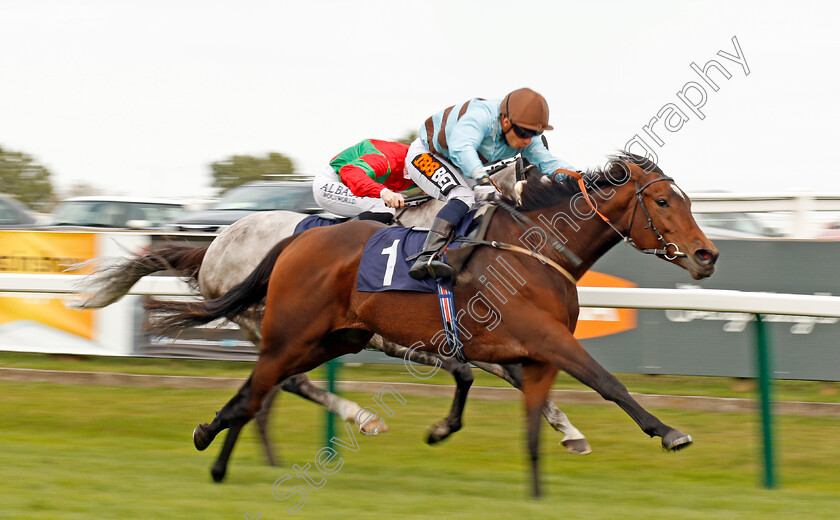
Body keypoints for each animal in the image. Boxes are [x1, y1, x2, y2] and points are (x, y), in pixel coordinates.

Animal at [148, 152, 720, 494]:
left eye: (688, 200)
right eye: (662, 201)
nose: (706, 255)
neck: (532, 247)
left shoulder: (509, 349)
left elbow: (498, 389)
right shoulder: (540, 338)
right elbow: (606, 381)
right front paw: (668, 432)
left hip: (332, 338)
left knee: (260, 387)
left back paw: (214, 443)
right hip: (294, 332)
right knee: (268, 384)